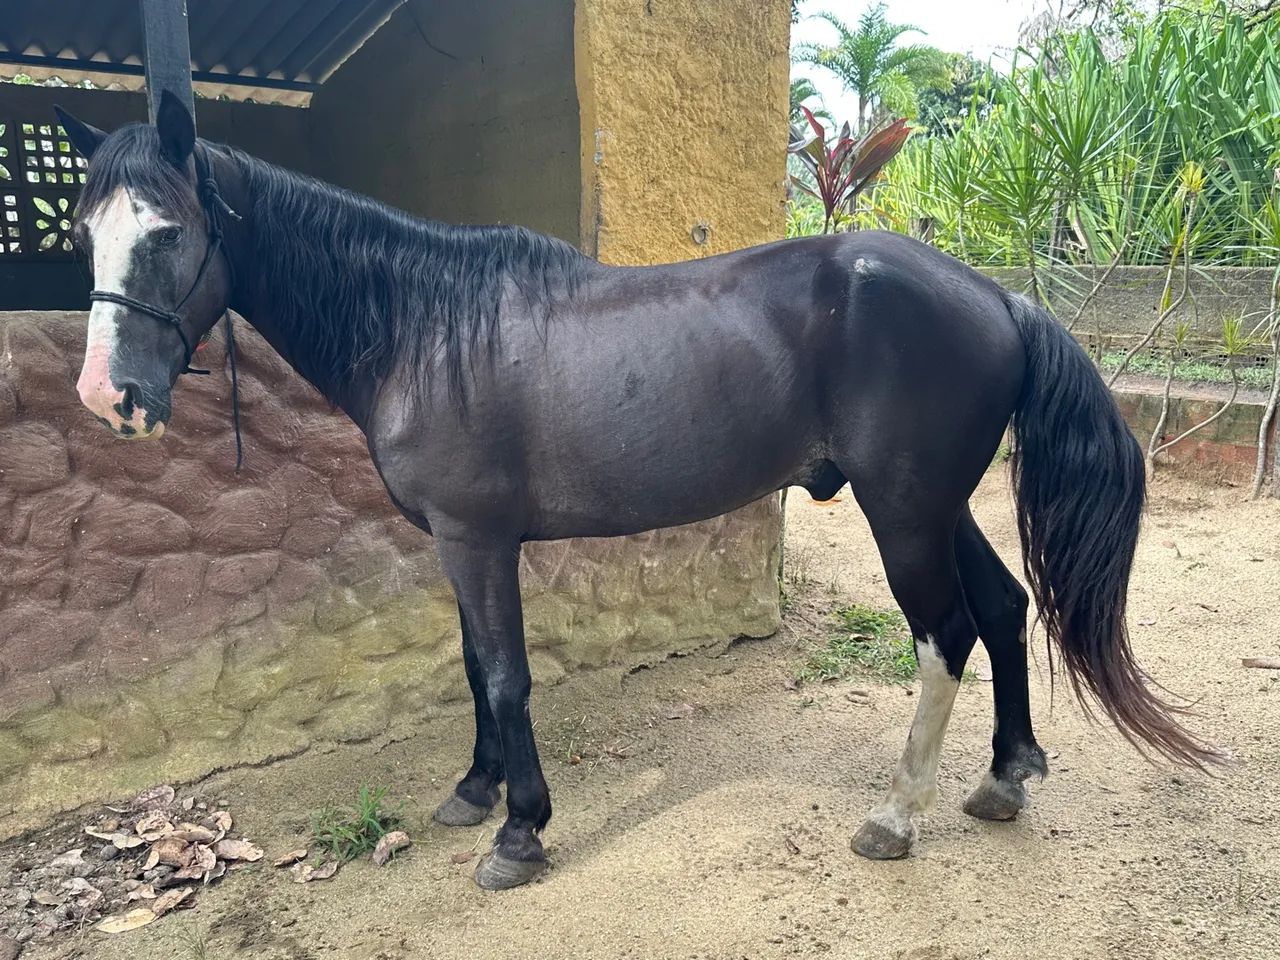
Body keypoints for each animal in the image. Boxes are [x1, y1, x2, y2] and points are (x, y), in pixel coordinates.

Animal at [54, 93, 1215, 890]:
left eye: (168, 230)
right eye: (83, 232)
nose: (109, 397)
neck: (429, 328)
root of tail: (998, 297)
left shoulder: (477, 539)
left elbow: (507, 677)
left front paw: (520, 832)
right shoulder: (456, 546)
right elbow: (472, 667)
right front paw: (473, 792)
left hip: (901, 512)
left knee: (947, 635)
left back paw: (896, 816)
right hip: (933, 505)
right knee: (1007, 608)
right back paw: (1005, 777)